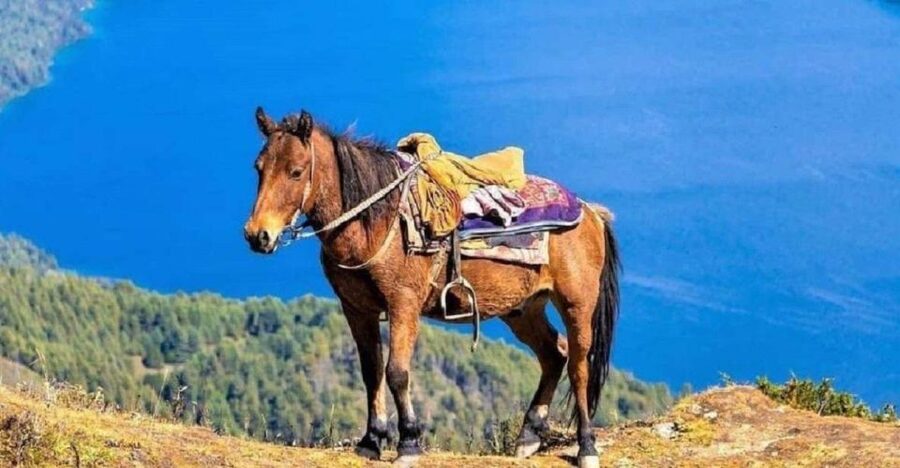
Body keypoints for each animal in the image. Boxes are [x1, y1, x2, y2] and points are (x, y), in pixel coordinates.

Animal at [243, 108, 620, 468]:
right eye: (258, 168)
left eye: (296, 171)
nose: (257, 235)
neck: (376, 222)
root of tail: (590, 212)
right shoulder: (357, 309)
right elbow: (371, 371)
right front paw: (371, 441)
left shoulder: (403, 304)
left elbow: (397, 372)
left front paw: (408, 443)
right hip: (522, 309)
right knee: (553, 354)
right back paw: (529, 435)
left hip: (576, 303)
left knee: (578, 366)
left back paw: (586, 447)